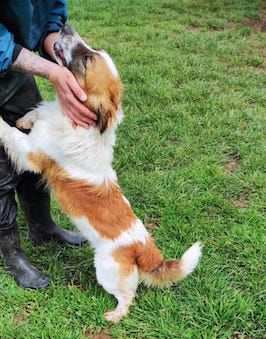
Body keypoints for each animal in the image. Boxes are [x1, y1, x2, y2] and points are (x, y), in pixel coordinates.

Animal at [0, 24, 202, 324]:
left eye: (86, 60)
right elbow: (34, 113)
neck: (76, 119)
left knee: (128, 297)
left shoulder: (31, 154)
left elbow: (10, 133)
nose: (65, 26)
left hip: (107, 270)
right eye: (92, 51)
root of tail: (146, 249)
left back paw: (114, 315)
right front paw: (26, 118)